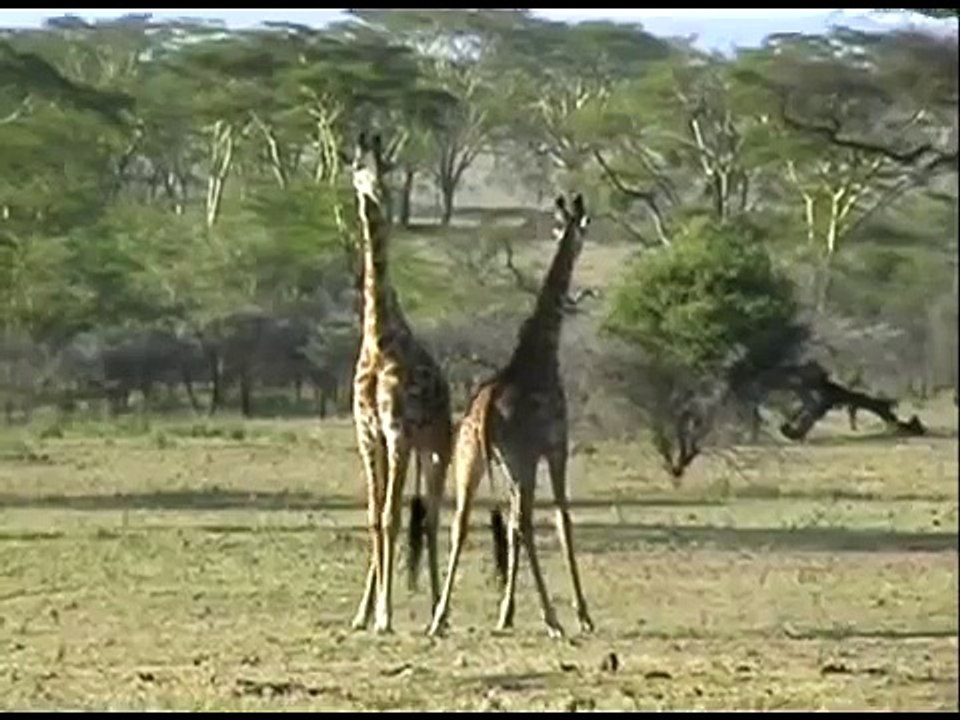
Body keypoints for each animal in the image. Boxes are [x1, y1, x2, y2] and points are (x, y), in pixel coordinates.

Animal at [427, 193, 594, 639]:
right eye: (580, 228)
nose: (579, 240)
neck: (540, 353)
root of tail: (484, 411)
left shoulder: (507, 462)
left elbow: (514, 529)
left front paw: (507, 612)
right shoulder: (555, 449)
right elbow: (562, 521)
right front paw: (583, 614)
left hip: (470, 459)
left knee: (462, 522)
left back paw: (439, 617)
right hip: (520, 460)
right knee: (526, 523)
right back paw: (554, 620)